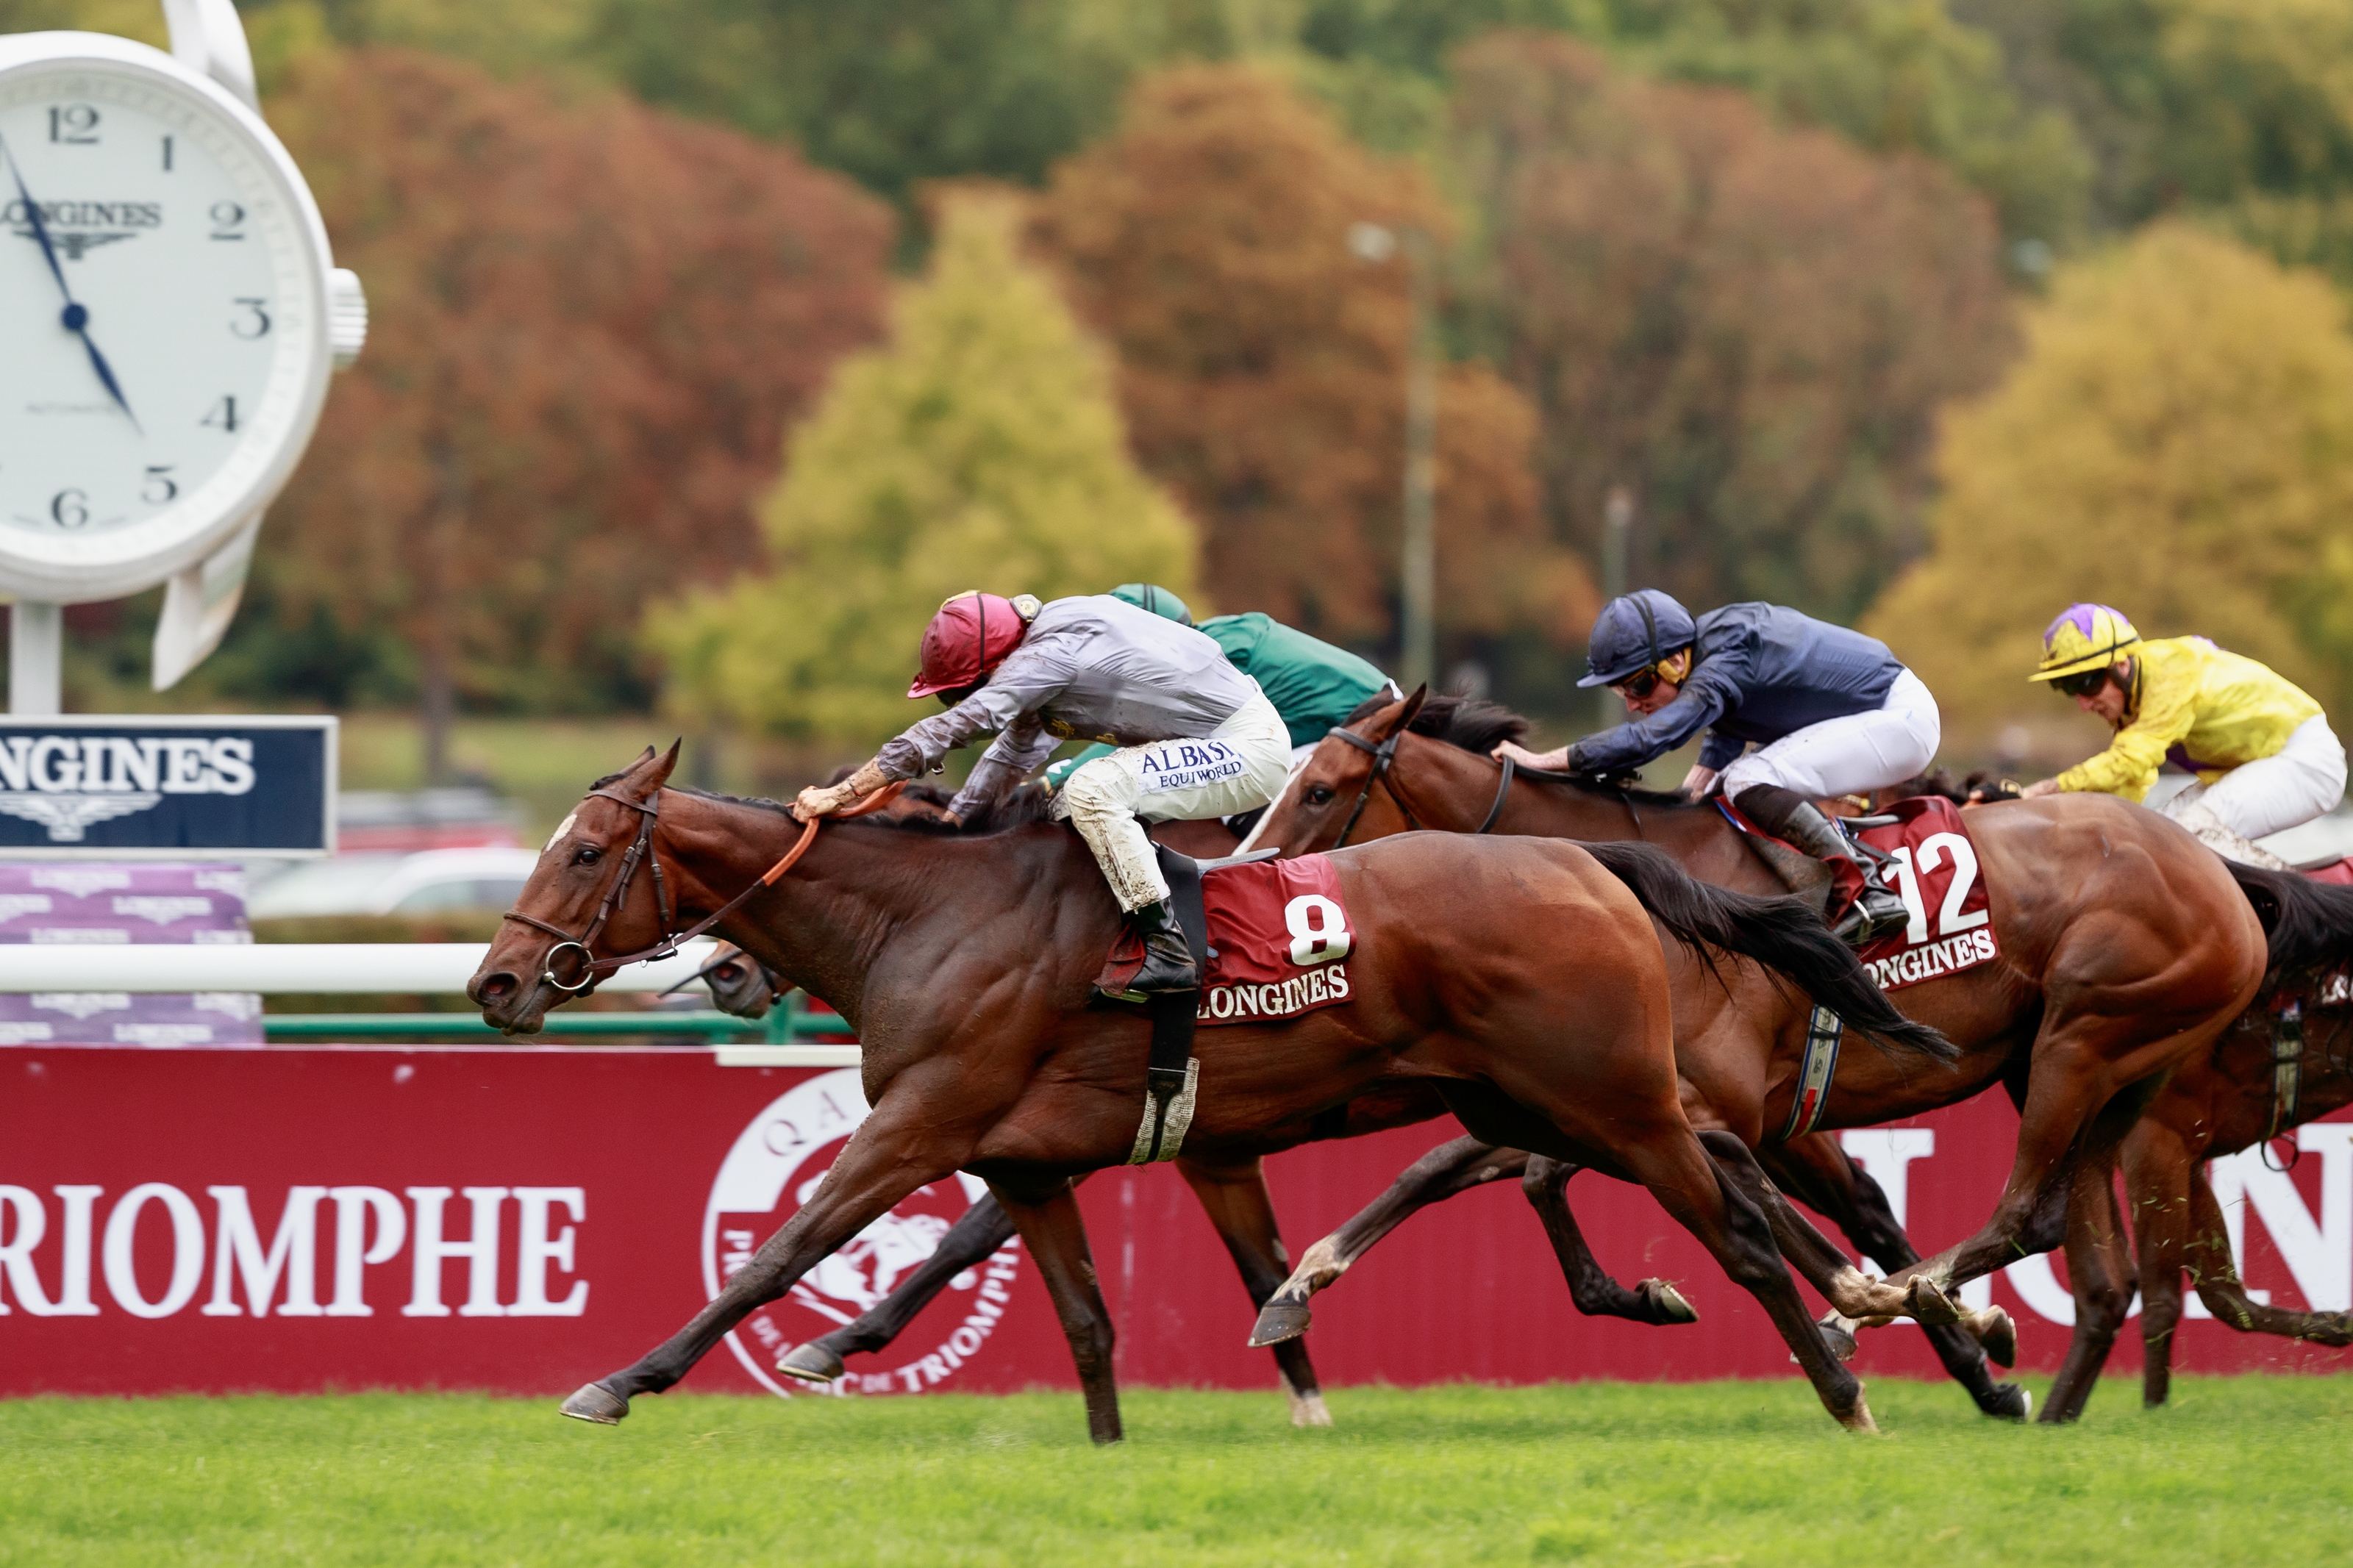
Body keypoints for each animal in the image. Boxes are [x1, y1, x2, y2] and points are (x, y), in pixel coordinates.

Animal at [468, 742, 1957, 1439]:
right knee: (1734, 1186)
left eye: (586, 849)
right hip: (1536, 1099)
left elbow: (781, 1250)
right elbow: (1084, 1320)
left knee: (1747, 1229)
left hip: (1615, 1099)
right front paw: (1120, 1444)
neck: (927, 914)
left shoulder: (921, 1123)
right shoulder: (1035, 1158)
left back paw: (1856, 1381)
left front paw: (622, 1380)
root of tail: (1593, 859)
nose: (495, 981)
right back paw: (1902, 1320)